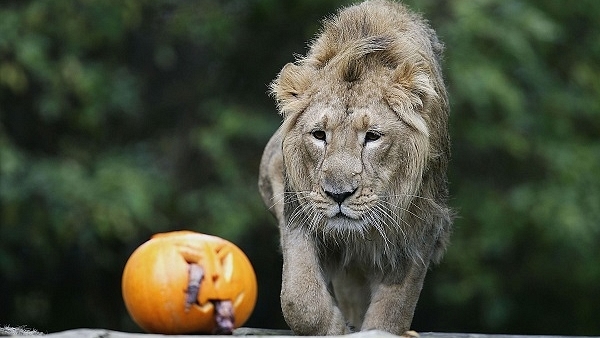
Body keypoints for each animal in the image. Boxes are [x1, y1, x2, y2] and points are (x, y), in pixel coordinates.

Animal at [256, 0, 450, 336]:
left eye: (372, 137)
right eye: (319, 135)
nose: (338, 195)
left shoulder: (423, 221)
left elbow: (394, 308)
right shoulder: (298, 208)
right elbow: (298, 299)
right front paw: (334, 327)